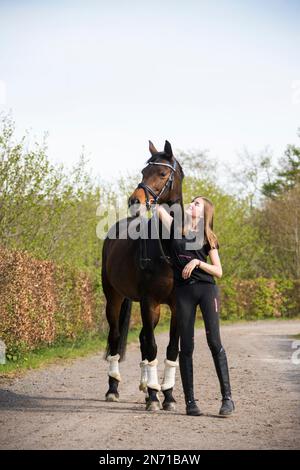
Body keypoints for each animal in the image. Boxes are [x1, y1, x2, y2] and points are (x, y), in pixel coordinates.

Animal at [102, 138, 184, 410]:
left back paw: (146, 386)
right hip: (114, 298)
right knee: (116, 337)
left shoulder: (178, 305)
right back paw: (113, 388)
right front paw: (154, 397)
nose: (134, 201)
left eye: (162, 173)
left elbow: (171, 349)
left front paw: (167, 396)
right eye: (142, 172)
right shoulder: (149, 302)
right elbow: (153, 347)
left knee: (141, 339)